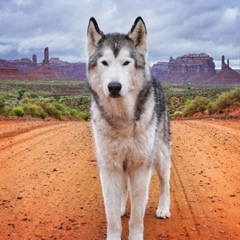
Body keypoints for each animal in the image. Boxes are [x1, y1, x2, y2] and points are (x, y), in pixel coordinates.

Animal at [86, 15, 171, 239]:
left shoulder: (141, 167)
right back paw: (122, 206)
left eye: (126, 62)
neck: (122, 119)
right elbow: (112, 217)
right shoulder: (109, 168)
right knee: (124, 189)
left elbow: (137, 217)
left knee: (165, 183)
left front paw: (135, 234)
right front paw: (116, 226)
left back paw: (163, 208)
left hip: (160, 156)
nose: (114, 87)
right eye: (104, 62)